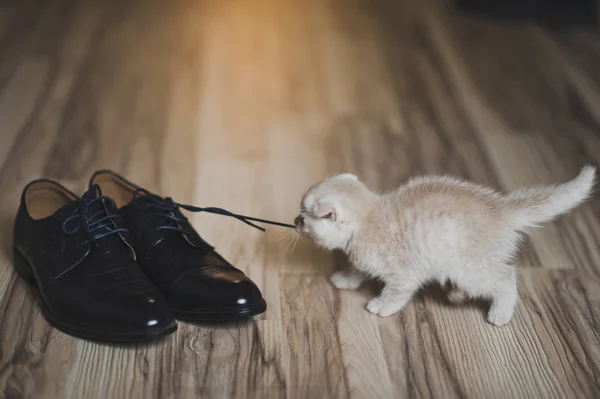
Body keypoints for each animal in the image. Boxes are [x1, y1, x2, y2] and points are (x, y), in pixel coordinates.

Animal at [296, 167, 596, 326]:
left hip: (470, 269)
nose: (296, 220)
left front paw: (382, 306)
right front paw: (346, 278)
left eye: (306, 215)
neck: (368, 218)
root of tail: (501, 208)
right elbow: (359, 268)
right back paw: (456, 295)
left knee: (506, 278)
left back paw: (500, 313)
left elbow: (396, 293)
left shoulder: (405, 274)